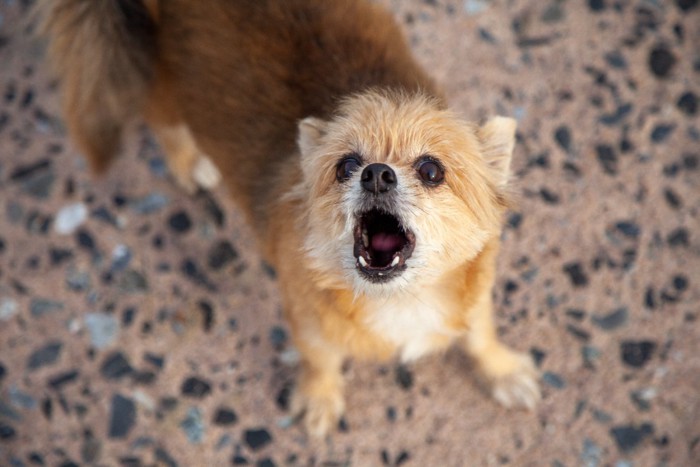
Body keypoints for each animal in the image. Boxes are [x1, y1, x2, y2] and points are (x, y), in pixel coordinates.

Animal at [37, 0, 540, 438]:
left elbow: (480, 335)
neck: (402, 301)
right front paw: (320, 400)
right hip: (156, 83)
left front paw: (503, 370)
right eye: (346, 166)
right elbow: (321, 361)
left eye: (432, 170)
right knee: (164, 127)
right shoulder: (306, 322)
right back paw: (189, 164)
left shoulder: (475, 295)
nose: (377, 174)